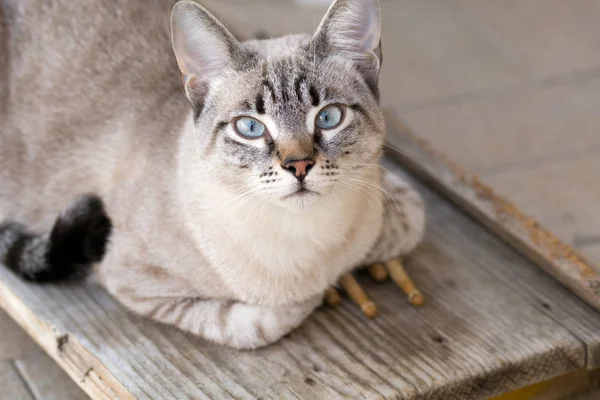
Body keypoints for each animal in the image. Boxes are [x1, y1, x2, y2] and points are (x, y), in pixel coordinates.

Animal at [0, 0, 426, 350]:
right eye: (250, 128)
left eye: (329, 117)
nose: (299, 166)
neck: (309, 240)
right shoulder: (133, 281)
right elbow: (258, 323)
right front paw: (326, 291)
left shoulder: (389, 193)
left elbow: (411, 219)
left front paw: (358, 271)